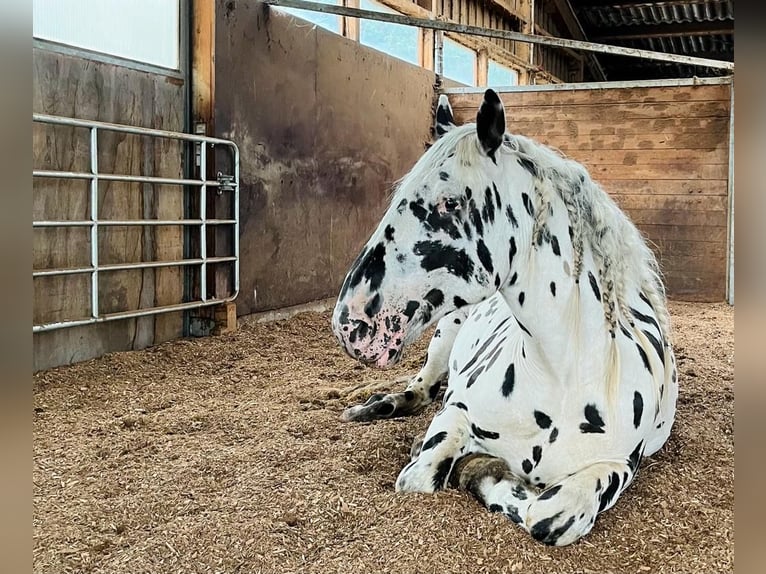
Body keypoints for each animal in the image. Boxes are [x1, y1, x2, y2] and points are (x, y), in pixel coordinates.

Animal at [330, 91, 680, 548]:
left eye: (450, 202)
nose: (350, 321)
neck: (559, 378)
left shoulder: (616, 467)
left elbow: (545, 515)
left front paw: (486, 472)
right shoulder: (455, 414)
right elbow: (421, 473)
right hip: (442, 339)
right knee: (419, 390)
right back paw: (371, 408)